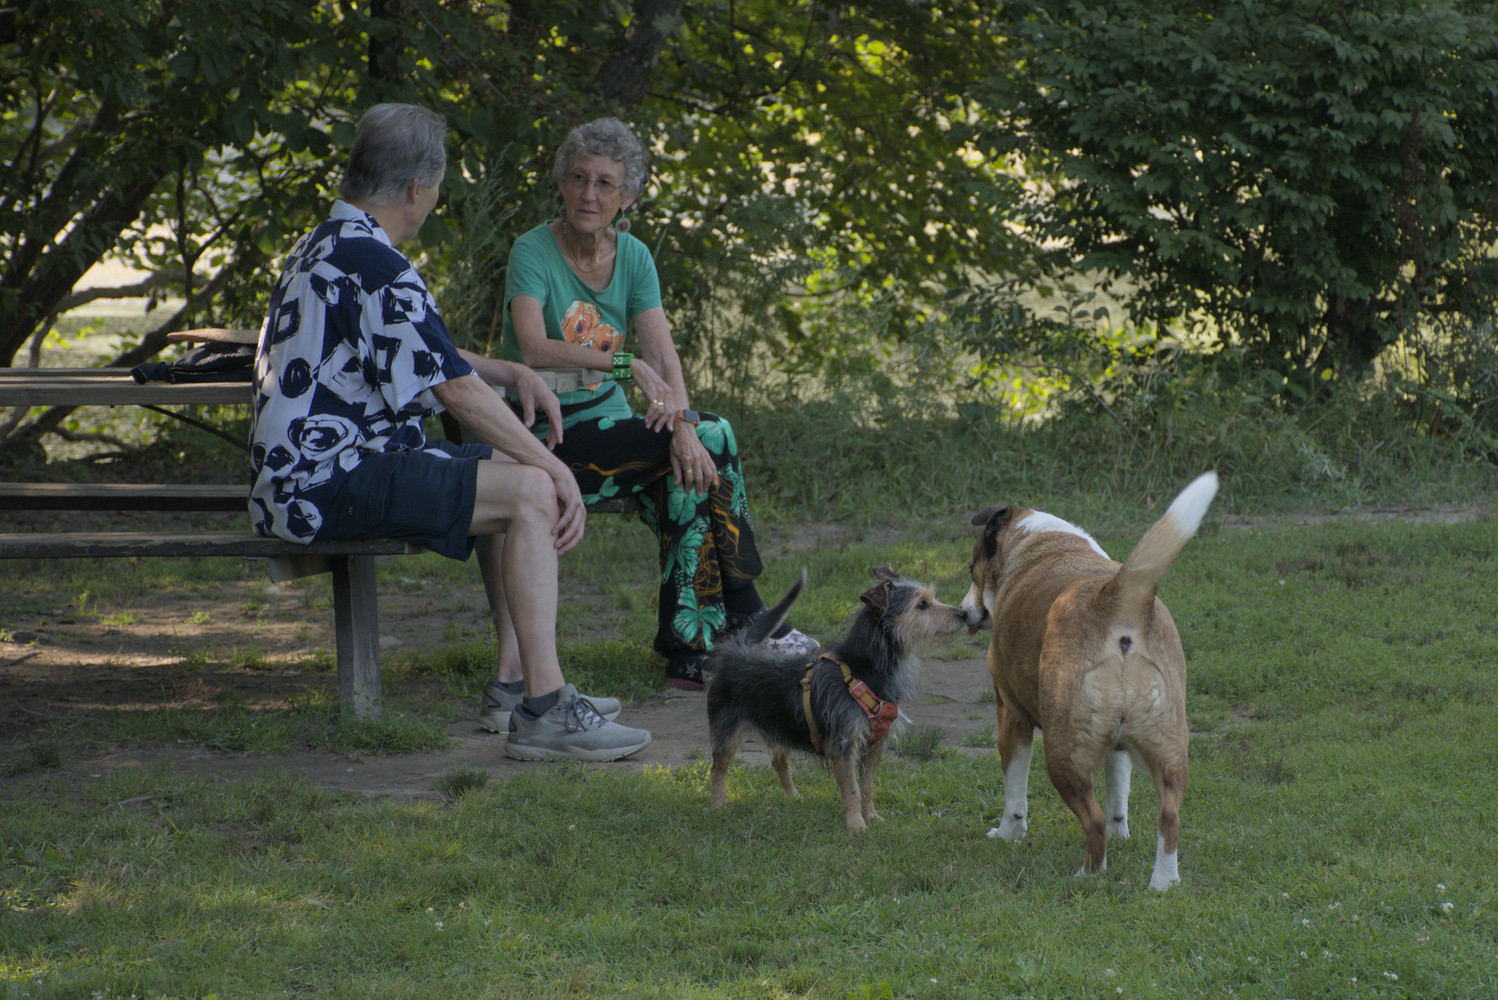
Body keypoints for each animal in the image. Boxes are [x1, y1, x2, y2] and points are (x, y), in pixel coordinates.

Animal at [707, 566, 971, 832]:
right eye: (922, 605)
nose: (964, 614)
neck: (862, 669)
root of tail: (737, 647)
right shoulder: (842, 746)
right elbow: (852, 790)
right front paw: (856, 826)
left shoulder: (873, 745)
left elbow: (867, 787)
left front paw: (872, 817)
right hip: (726, 729)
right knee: (718, 767)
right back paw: (718, 804)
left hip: (778, 726)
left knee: (779, 761)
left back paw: (793, 797)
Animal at [961, 472, 1218, 890]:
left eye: (972, 569)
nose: (963, 612)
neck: (1042, 543)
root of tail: (1117, 597)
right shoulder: (1117, 746)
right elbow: (1118, 797)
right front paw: (1122, 835)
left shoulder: (1011, 717)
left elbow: (1014, 795)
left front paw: (1006, 835)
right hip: (1170, 748)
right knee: (1168, 817)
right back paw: (1163, 883)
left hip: (1063, 752)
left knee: (1092, 822)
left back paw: (1088, 876)